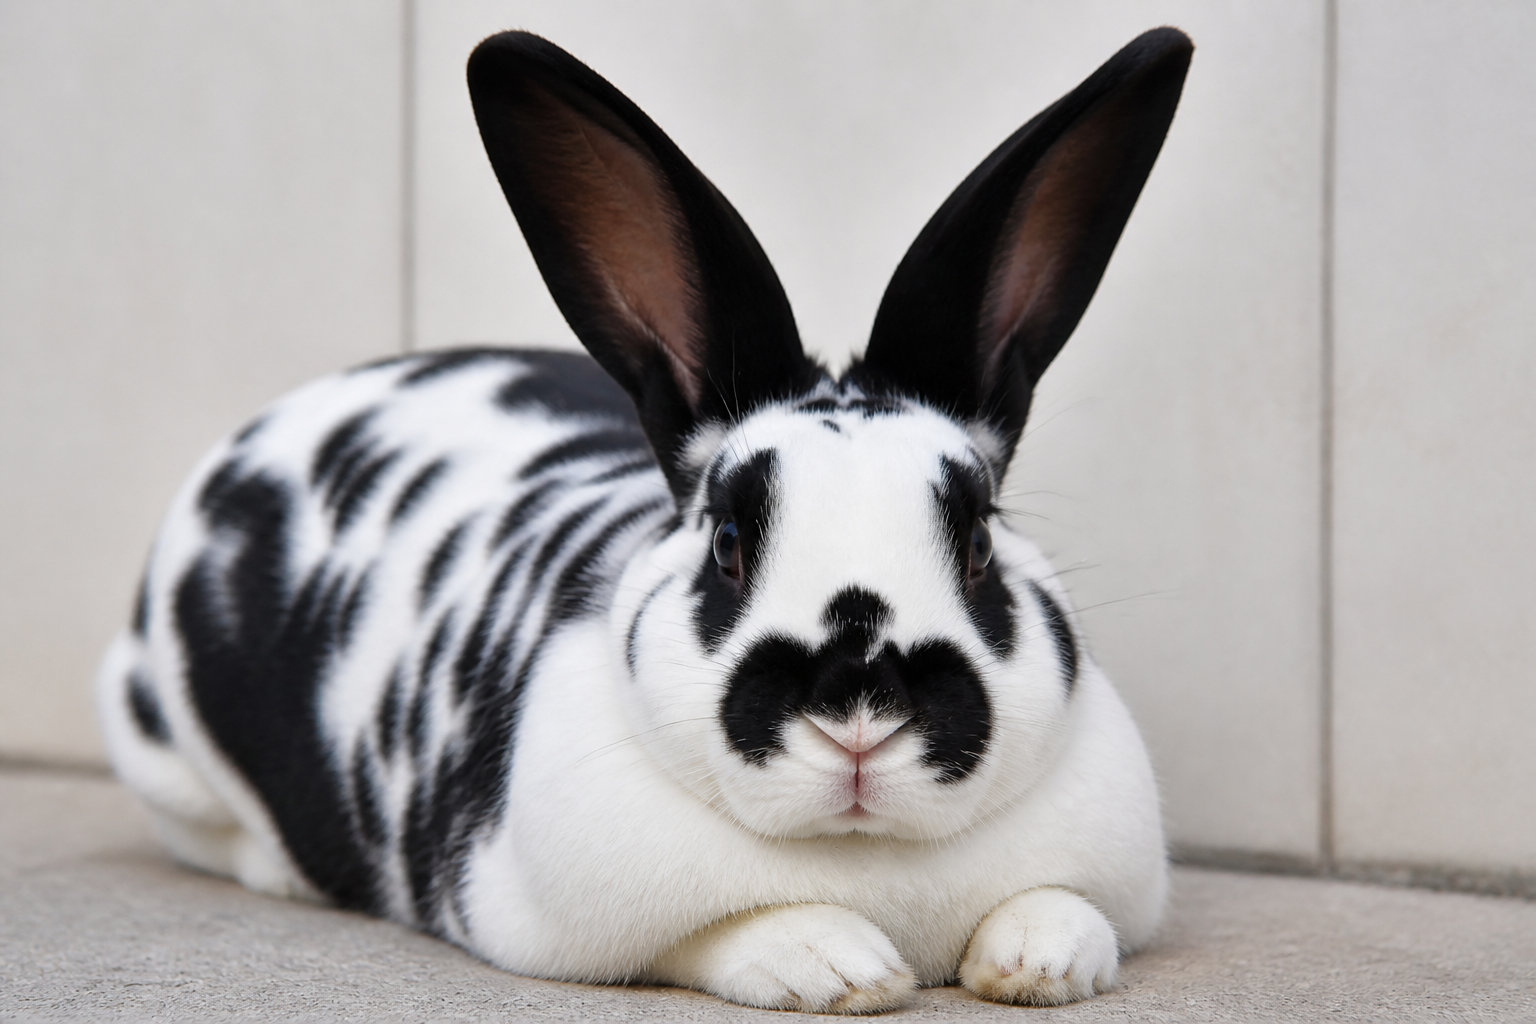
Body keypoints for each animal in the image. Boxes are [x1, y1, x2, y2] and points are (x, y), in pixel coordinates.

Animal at [96, 26, 1192, 1012]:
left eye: (977, 542)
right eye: (728, 543)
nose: (860, 713)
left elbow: (1069, 909)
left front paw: (1040, 961)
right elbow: (721, 933)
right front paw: (841, 967)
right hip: (163, 753)